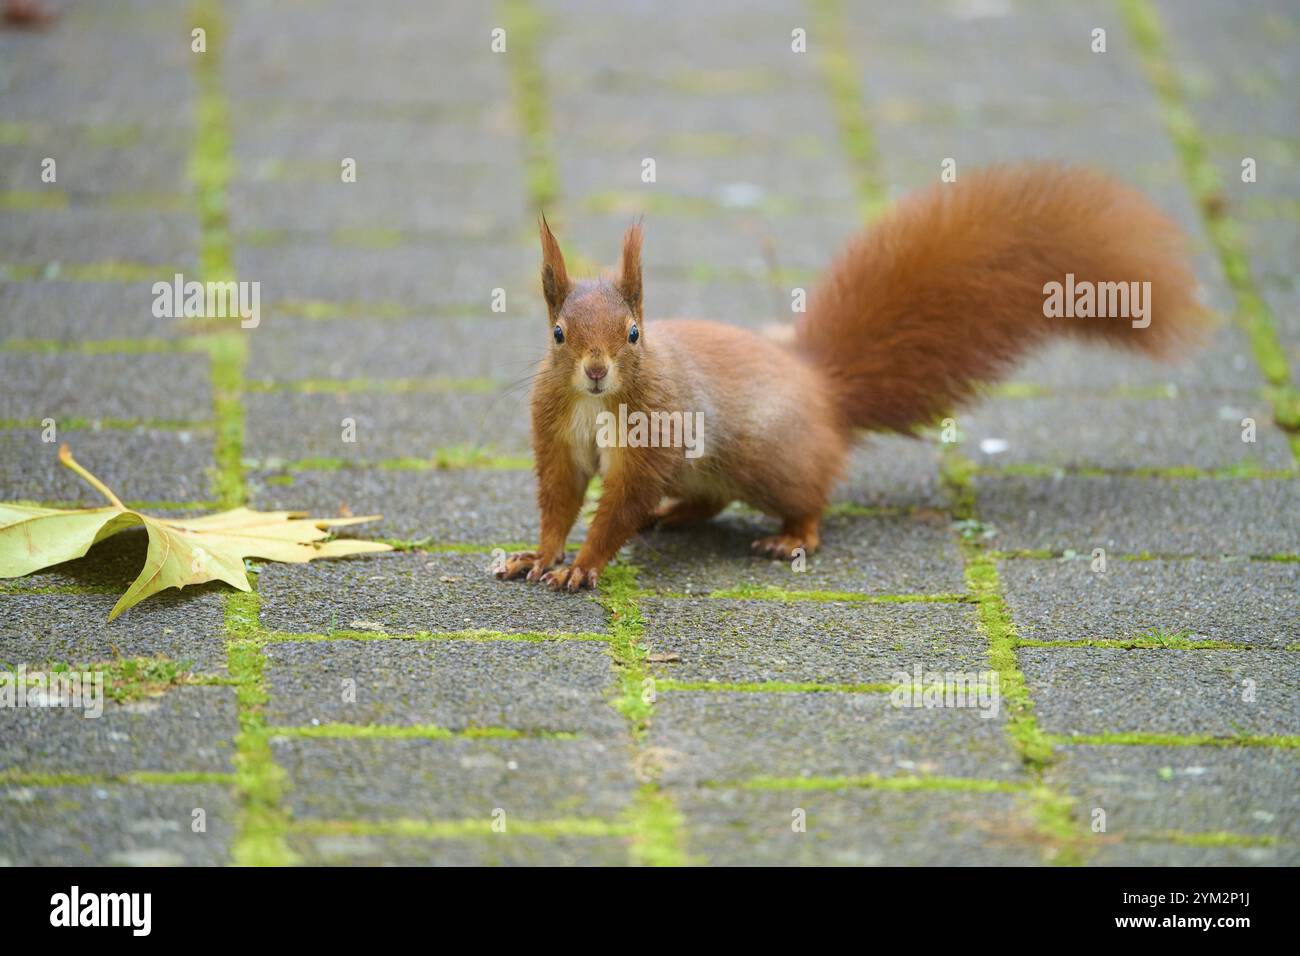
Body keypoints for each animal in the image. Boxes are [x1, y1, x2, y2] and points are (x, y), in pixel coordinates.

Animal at [495, 163, 1209, 592]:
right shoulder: (557, 436)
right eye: (557, 334)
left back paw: (790, 537)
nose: (594, 372)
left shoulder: (654, 434)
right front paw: (539, 554)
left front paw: (583, 565)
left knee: (809, 500)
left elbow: (618, 505)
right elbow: (561, 499)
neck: (598, 404)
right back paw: (672, 516)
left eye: (634, 335)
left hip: (772, 461)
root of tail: (823, 391)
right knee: (709, 500)